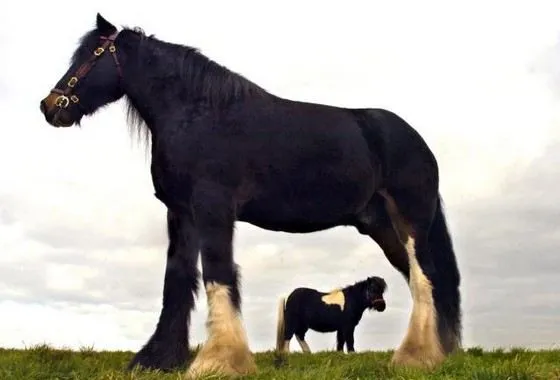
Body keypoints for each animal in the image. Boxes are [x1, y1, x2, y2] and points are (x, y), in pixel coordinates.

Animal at [38, 14, 460, 378]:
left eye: (92, 54)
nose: (50, 106)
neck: (199, 115)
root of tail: (417, 141)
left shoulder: (213, 210)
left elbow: (218, 275)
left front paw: (219, 361)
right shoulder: (181, 214)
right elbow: (177, 282)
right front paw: (158, 359)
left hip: (410, 222)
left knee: (425, 278)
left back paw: (415, 358)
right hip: (382, 229)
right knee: (423, 280)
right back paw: (437, 352)